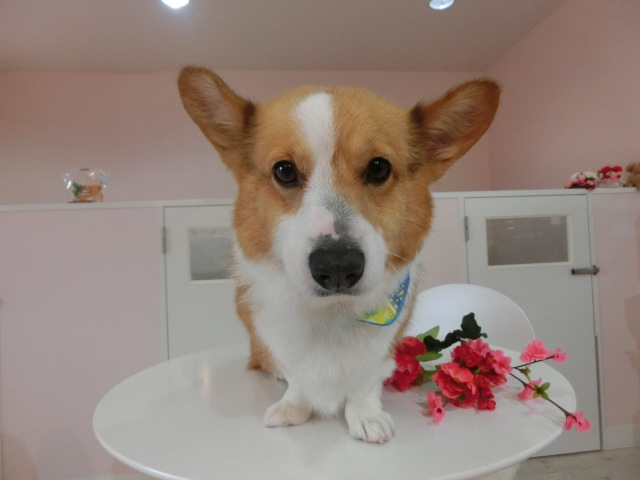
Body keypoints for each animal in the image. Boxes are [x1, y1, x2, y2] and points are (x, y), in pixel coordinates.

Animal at [178, 67, 499, 443]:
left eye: (379, 168)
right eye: (284, 171)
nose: (336, 267)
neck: (331, 313)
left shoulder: (385, 344)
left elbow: (365, 382)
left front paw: (366, 416)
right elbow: (297, 377)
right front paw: (294, 406)